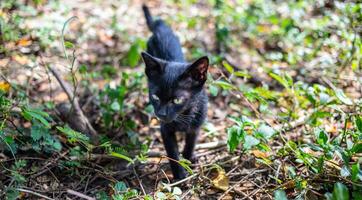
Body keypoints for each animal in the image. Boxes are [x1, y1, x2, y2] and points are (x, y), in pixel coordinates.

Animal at [142, 4, 209, 180]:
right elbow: (172, 153)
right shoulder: (165, 130)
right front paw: (180, 176)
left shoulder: (196, 126)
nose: (161, 114)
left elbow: (191, 143)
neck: (183, 117)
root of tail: (161, 28)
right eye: (155, 97)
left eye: (177, 100)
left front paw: (188, 158)